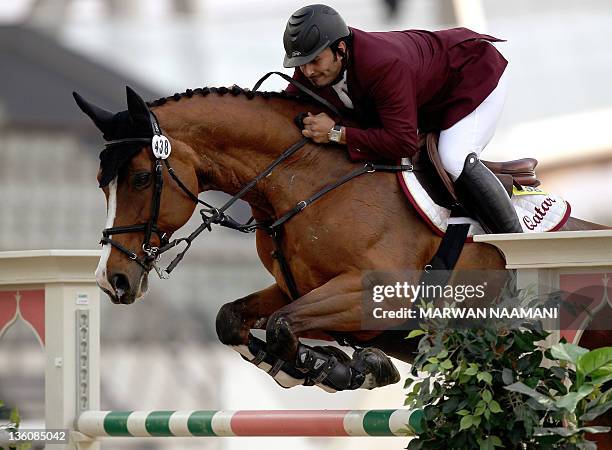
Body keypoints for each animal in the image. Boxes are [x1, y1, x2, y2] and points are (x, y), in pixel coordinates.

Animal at [73, 84, 608, 394]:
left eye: (141, 178)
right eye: (101, 184)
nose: (112, 280)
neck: (307, 182)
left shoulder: (374, 296)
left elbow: (284, 326)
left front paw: (343, 368)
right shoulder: (296, 288)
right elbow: (234, 319)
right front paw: (326, 365)